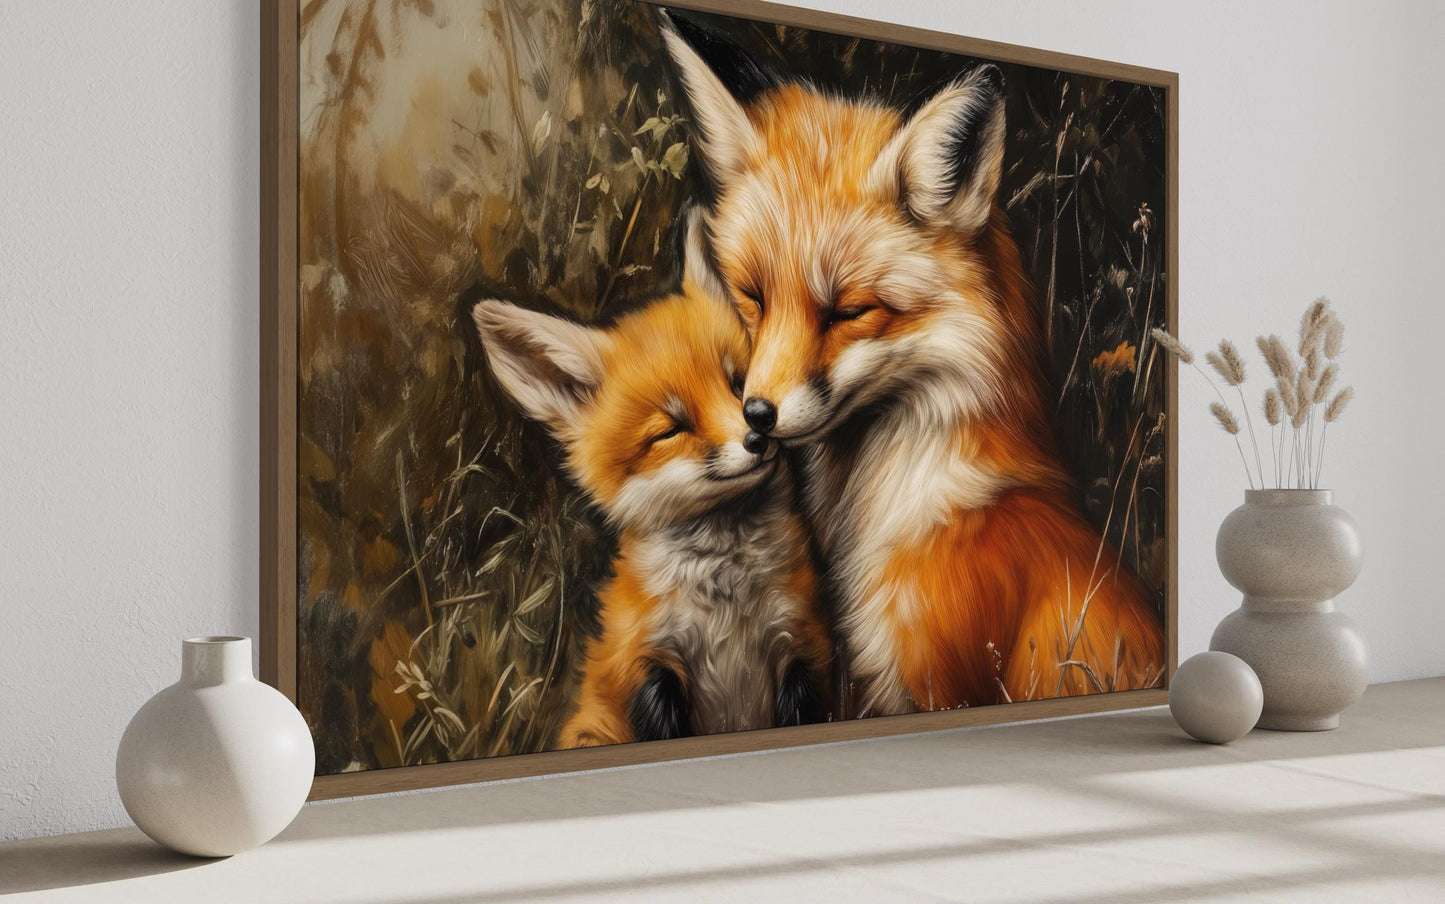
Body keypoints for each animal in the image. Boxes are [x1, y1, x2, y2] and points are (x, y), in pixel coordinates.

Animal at [470, 216, 832, 747]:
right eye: (669, 430)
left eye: (739, 385)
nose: (757, 437)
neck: (726, 605)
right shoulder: (648, 668)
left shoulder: (804, 647)